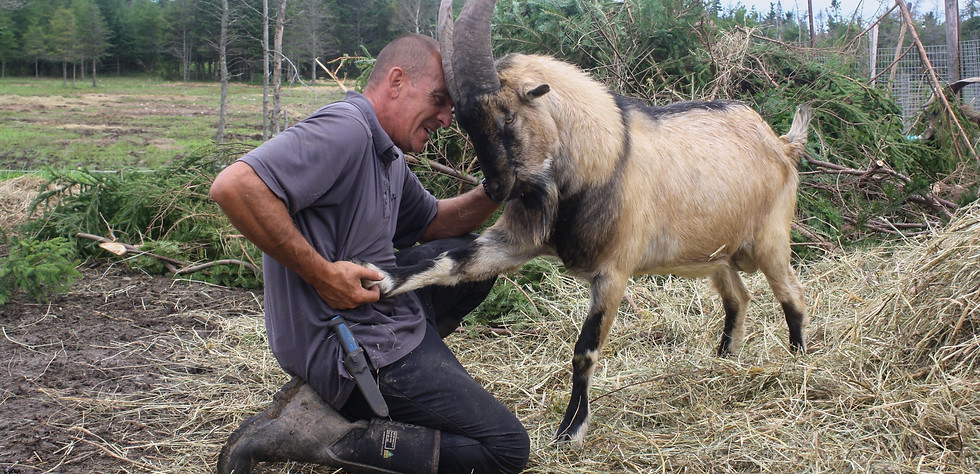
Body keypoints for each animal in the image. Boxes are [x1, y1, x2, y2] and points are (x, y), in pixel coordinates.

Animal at [363, 0, 811, 447]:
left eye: (507, 116)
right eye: (464, 120)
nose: (497, 187)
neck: (605, 158)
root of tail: (781, 144)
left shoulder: (613, 272)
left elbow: (585, 351)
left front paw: (570, 429)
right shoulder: (515, 241)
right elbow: (450, 262)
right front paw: (380, 280)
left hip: (771, 239)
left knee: (792, 293)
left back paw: (798, 361)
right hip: (717, 255)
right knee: (738, 296)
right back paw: (724, 359)